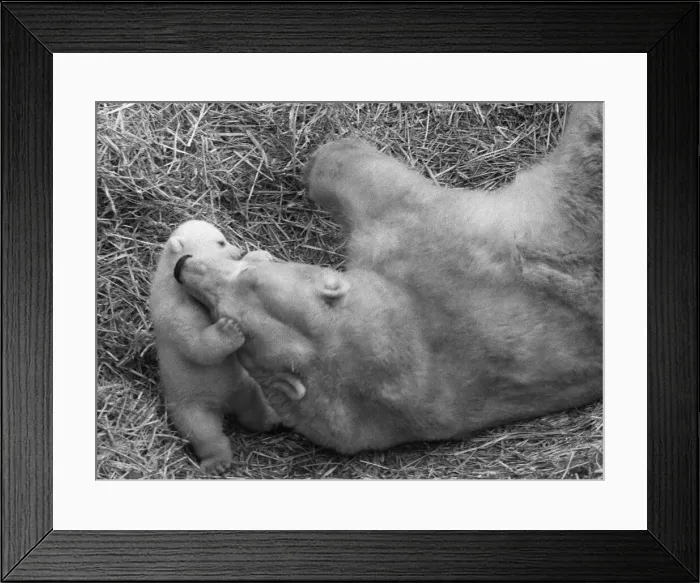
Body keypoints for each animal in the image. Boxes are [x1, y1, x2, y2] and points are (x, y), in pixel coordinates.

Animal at [149, 219, 279, 473]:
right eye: (221, 242)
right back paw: (217, 462)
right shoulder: (175, 310)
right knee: (203, 431)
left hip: (243, 385)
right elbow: (196, 345)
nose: (238, 250)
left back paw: (272, 416)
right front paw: (230, 329)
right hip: (189, 403)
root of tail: (224, 407)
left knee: (254, 407)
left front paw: (261, 255)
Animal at [174, 103, 603, 455]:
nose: (184, 268)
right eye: (216, 312)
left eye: (250, 275)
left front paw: (318, 159)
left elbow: (348, 166)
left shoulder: (426, 239)